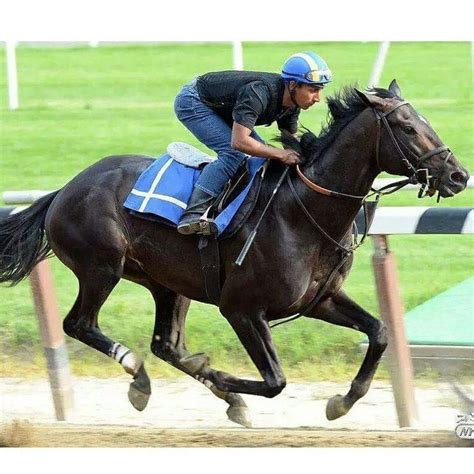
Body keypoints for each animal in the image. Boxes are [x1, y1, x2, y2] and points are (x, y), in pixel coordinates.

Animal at [0, 79, 468, 428]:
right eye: (407, 127)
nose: (458, 175)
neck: (301, 211)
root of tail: (64, 189)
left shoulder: (320, 300)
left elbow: (380, 332)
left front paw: (343, 400)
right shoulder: (241, 309)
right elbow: (276, 380)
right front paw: (224, 377)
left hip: (167, 283)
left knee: (166, 345)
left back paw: (193, 391)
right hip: (101, 267)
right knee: (80, 324)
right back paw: (141, 376)